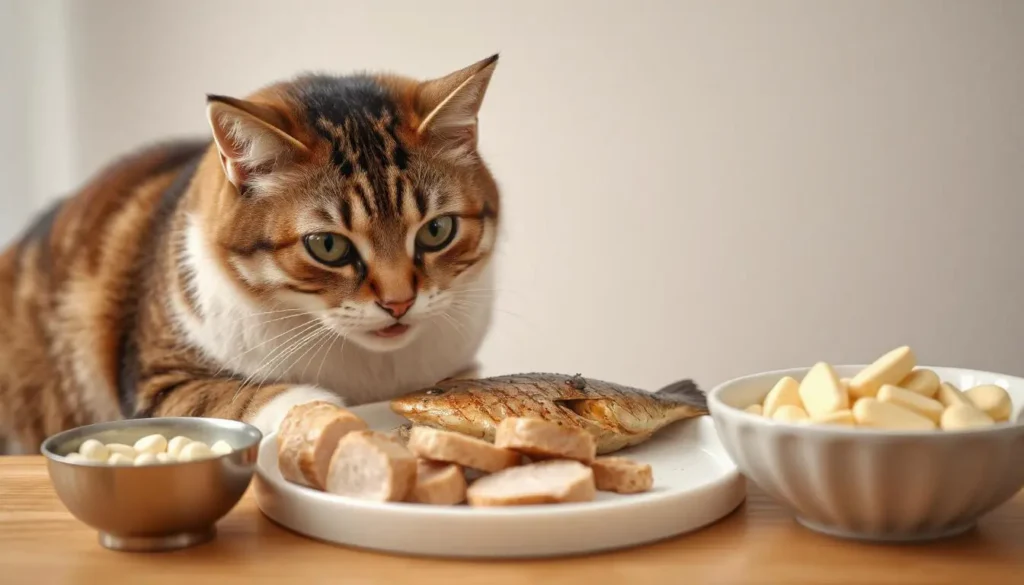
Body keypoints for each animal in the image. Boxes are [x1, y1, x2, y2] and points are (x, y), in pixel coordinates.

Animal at [0, 54, 499, 454]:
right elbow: (227, 396)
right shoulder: (154, 383)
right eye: (329, 246)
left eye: (436, 231)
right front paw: (319, 409)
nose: (399, 303)